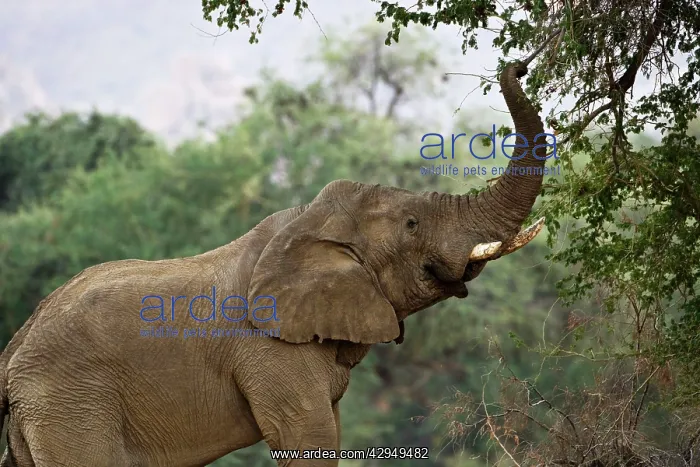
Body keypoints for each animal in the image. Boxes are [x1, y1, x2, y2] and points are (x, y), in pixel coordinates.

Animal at [0, 60, 550, 467]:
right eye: (412, 224)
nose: (518, 64)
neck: (308, 223)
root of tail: (13, 357)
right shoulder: (269, 350)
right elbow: (308, 436)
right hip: (71, 406)